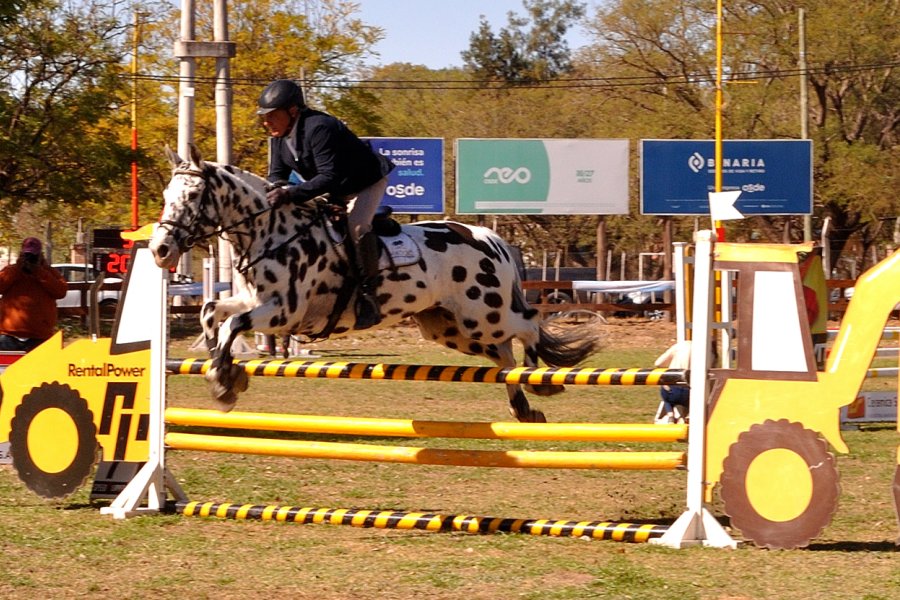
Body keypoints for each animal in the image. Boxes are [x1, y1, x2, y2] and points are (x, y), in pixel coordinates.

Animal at [151, 144, 600, 422]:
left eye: (192, 198)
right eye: (166, 195)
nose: (160, 250)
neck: (270, 231)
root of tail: (488, 237)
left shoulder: (283, 313)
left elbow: (231, 325)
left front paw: (224, 383)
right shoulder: (250, 301)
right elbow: (212, 313)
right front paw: (225, 374)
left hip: (482, 314)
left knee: (528, 325)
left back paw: (539, 383)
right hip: (450, 327)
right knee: (503, 354)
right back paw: (523, 406)